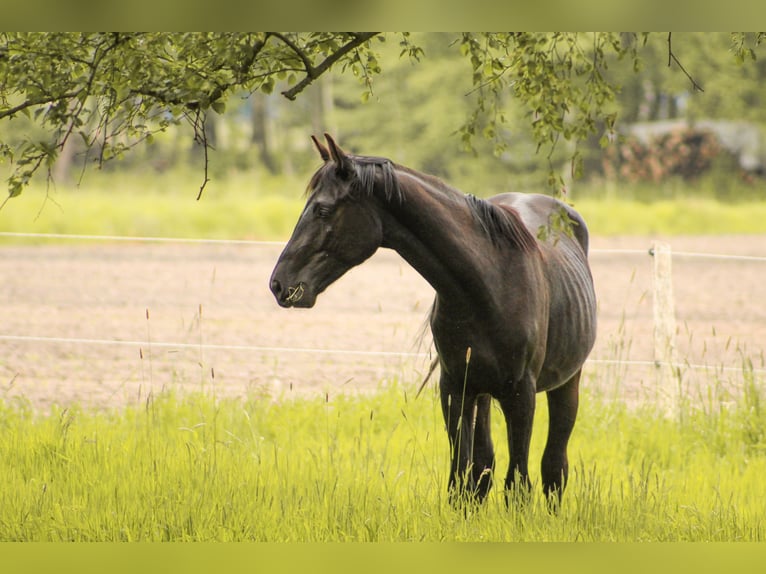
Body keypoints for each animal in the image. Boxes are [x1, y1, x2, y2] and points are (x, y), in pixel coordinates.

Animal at [270, 135, 600, 508]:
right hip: (481, 393)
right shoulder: (454, 387)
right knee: (485, 464)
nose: (279, 284)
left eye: (323, 209)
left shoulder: (521, 395)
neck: (490, 284)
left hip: (565, 384)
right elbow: (462, 481)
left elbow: (517, 485)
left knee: (554, 467)